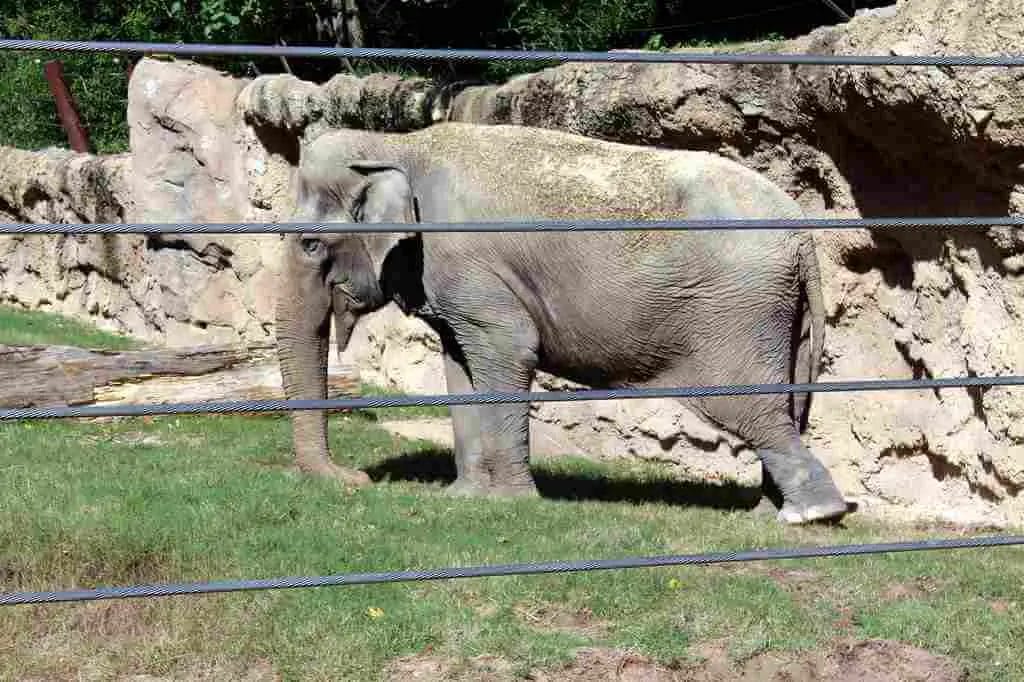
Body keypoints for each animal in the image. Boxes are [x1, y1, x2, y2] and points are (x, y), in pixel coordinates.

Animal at [274, 121, 853, 525]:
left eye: (310, 244)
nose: (357, 478)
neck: (398, 145)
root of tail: (805, 237)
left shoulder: (471, 266)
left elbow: (509, 350)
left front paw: (510, 503)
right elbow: (459, 365)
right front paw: (464, 498)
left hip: (738, 312)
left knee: (748, 406)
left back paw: (810, 515)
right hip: (787, 318)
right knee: (789, 407)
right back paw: (768, 512)